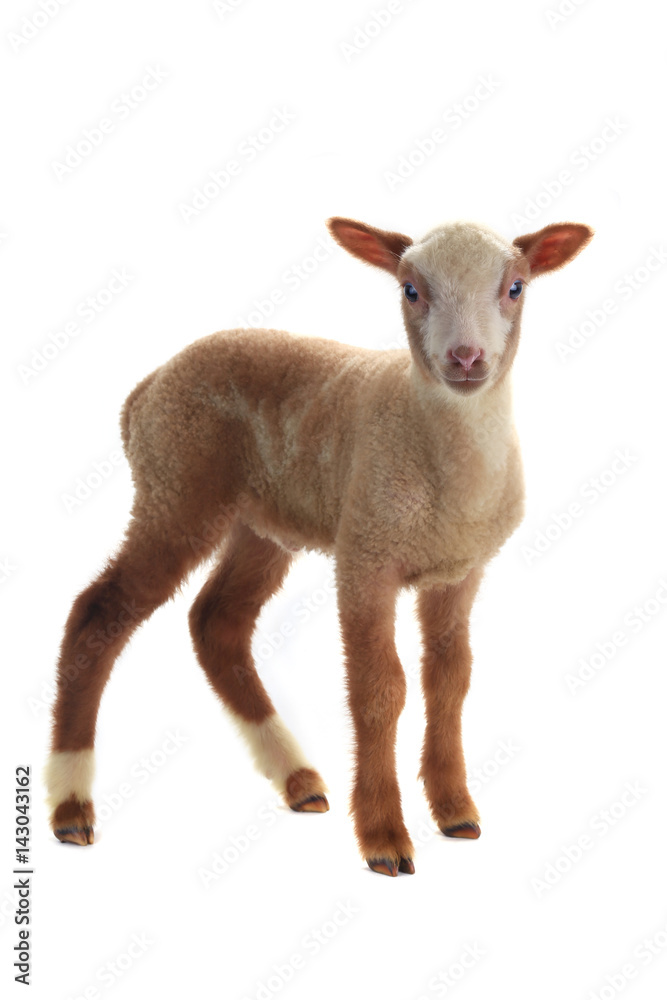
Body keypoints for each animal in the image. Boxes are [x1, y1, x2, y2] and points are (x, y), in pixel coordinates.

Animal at [44, 214, 593, 875]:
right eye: (411, 290)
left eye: (516, 287)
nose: (466, 358)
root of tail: (145, 389)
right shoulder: (366, 555)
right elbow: (380, 689)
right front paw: (384, 836)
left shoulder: (459, 572)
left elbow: (450, 680)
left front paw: (455, 808)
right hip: (176, 489)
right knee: (98, 615)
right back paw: (70, 806)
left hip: (260, 521)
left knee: (217, 621)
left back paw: (297, 779)